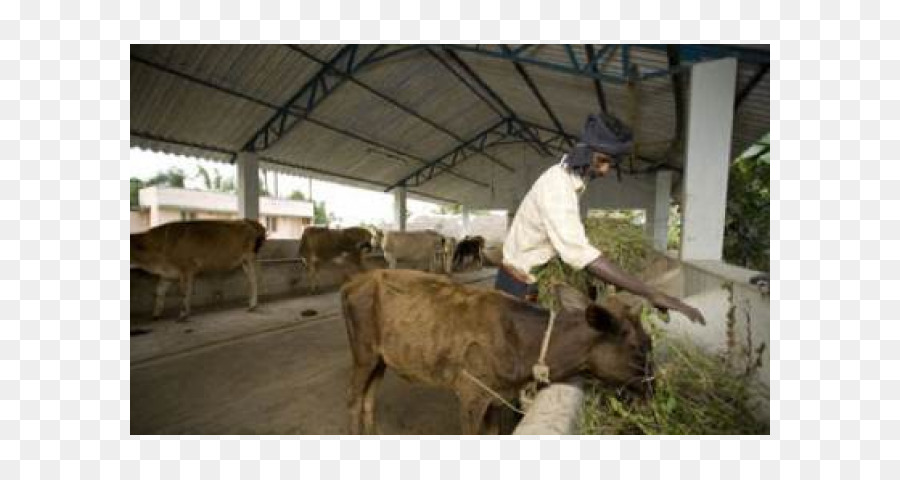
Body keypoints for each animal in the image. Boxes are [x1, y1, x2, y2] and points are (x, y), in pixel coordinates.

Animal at [129, 219, 268, 320]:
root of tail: (247, 221)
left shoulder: (186, 269)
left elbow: (184, 291)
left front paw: (183, 314)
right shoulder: (168, 273)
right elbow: (159, 291)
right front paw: (156, 314)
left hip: (250, 258)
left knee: (254, 280)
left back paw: (252, 305)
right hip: (245, 262)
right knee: (251, 280)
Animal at [342, 270, 652, 436]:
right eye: (638, 349)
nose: (653, 391)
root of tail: (352, 283)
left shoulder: (495, 397)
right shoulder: (471, 393)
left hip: (381, 358)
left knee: (369, 398)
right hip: (362, 352)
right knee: (354, 400)